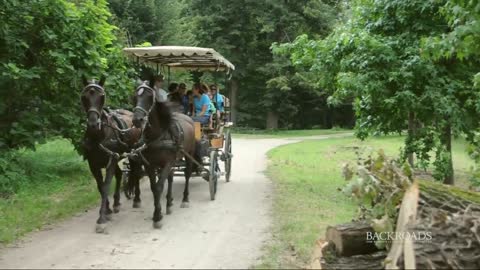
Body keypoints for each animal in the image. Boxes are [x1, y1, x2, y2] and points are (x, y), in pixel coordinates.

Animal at [79, 77, 142, 233]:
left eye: (102, 97)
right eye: (84, 97)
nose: (93, 123)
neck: (99, 136)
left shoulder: (111, 159)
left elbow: (106, 185)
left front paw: (101, 219)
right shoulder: (93, 164)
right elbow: (100, 186)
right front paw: (107, 211)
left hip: (134, 154)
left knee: (136, 172)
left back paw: (137, 199)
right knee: (120, 174)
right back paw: (117, 203)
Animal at [129, 81, 199, 228]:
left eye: (150, 97)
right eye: (135, 97)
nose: (137, 120)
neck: (158, 136)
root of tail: (188, 118)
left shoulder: (168, 162)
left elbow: (159, 186)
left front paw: (157, 217)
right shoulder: (150, 164)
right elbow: (154, 187)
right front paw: (158, 213)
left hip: (188, 154)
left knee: (187, 174)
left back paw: (185, 199)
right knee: (171, 177)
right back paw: (169, 202)